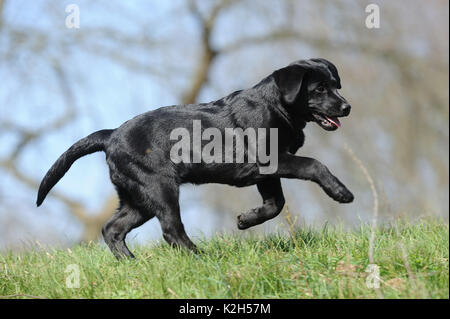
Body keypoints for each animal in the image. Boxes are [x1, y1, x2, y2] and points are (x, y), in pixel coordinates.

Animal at [37, 58, 354, 260]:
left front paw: (245, 220)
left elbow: (275, 203)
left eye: (336, 85)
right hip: (159, 189)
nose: (347, 107)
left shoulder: (267, 171)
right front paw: (341, 191)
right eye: (319, 89)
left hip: (138, 197)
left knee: (112, 229)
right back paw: (201, 257)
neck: (277, 106)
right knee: (171, 230)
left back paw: (131, 262)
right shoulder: (272, 160)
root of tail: (111, 134)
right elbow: (313, 164)